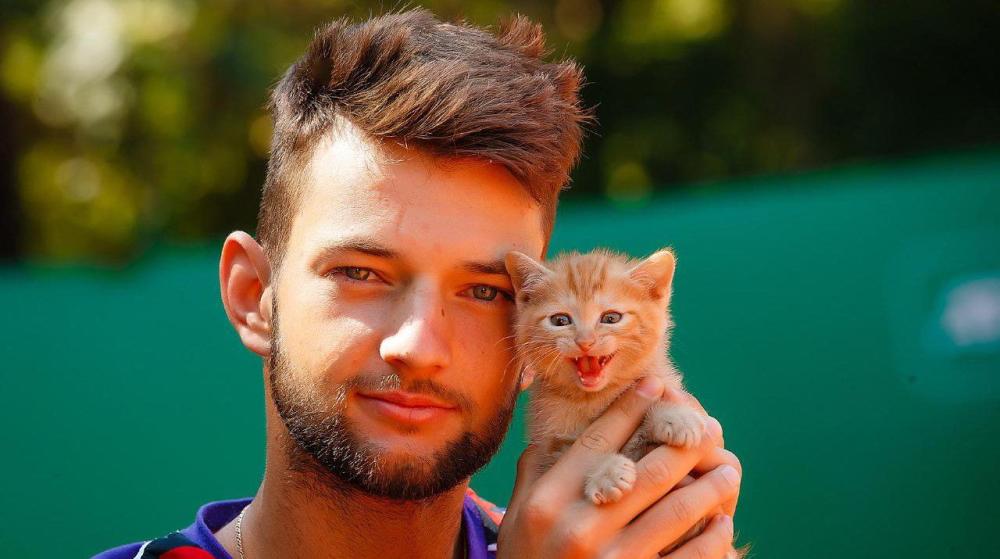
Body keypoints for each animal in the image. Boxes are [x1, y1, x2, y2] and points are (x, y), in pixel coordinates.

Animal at [505, 248, 739, 557]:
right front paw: (606, 473)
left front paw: (677, 417)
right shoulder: (551, 445)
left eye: (611, 317)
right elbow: (576, 454)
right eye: (560, 321)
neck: (596, 397)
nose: (585, 341)